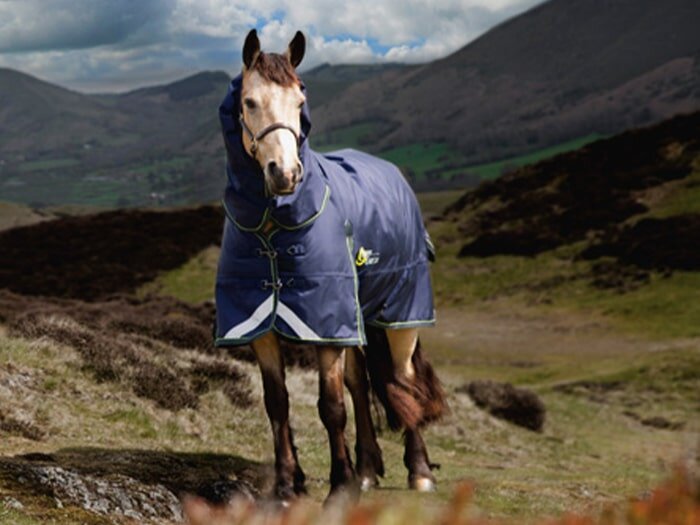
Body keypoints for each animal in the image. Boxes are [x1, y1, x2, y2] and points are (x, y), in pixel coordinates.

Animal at [214, 29, 446, 502]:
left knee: (402, 380)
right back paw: (368, 468)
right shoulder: (261, 327)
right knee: (362, 383)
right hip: (353, 321)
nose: (285, 174)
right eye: (250, 102)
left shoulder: (326, 323)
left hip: (401, 313)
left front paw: (339, 486)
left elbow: (331, 406)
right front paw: (288, 483)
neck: (274, 228)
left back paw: (418, 471)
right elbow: (278, 402)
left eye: (300, 100)